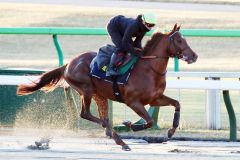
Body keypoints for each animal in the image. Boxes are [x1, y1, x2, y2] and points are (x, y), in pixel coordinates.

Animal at [16, 24, 197, 151]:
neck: (148, 69)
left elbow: (177, 104)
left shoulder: (155, 98)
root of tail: (68, 64)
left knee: (99, 116)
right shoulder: (133, 102)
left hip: (99, 94)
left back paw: (117, 139)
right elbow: (150, 121)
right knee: (86, 114)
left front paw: (171, 131)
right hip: (86, 90)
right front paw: (130, 124)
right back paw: (115, 135)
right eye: (179, 40)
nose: (194, 56)